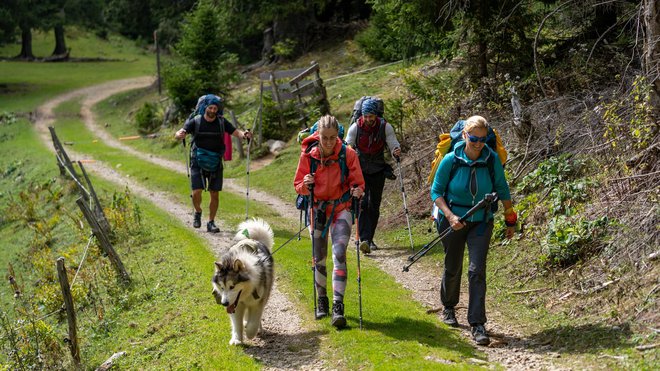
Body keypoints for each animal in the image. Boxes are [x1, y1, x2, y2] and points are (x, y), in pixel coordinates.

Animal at [211, 218, 274, 346]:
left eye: (232, 286)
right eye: (221, 287)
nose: (224, 303)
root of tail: (253, 239)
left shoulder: (257, 303)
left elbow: (253, 322)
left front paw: (250, 332)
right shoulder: (236, 305)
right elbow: (237, 323)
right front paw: (237, 339)